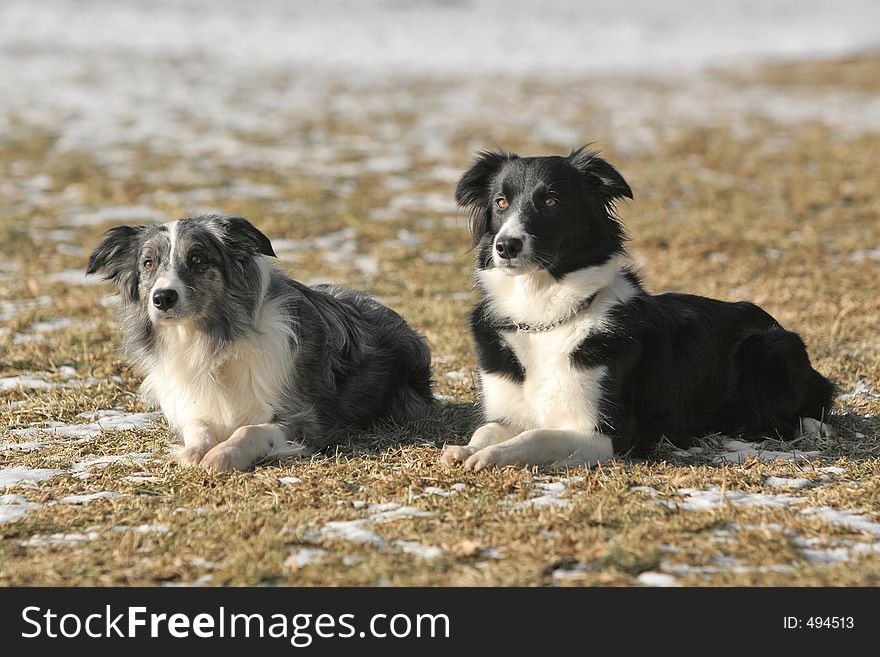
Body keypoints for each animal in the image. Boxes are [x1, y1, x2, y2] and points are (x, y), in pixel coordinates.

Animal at [87, 215, 432, 472]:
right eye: (148, 263)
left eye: (198, 259)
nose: (162, 298)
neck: (212, 339)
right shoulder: (194, 406)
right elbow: (198, 427)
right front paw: (194, 451)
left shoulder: (305, 418)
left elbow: (250, 430)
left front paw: (222, 455)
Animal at [444, 147, 836, 472]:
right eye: (501, 202)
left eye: (551, 201)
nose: (506, 246)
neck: (543, 313)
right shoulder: (508, 411)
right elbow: (488, 429)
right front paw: (467, 450)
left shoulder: (606, 433)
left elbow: (536, 436)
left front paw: (491, 457)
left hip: (772, 348)